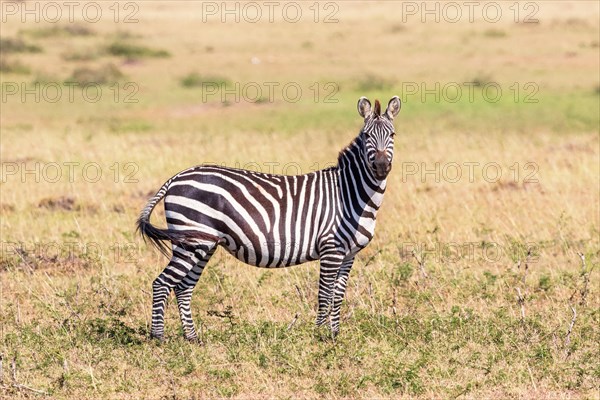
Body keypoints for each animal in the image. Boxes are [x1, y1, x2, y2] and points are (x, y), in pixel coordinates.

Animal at [138, 96, 400, 340]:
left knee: (183, 287)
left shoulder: (348, 254)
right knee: (162, 283)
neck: (350, 193)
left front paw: (334, 335)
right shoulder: (331, 249)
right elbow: (325, 295)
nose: (381, 166)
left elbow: (338, 296)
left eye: (393, 134)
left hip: (203, 244)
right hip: (191, 242)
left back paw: (192, 339)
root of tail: (177, 177)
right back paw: (158, 338)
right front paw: (319, 336)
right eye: (367, 136)